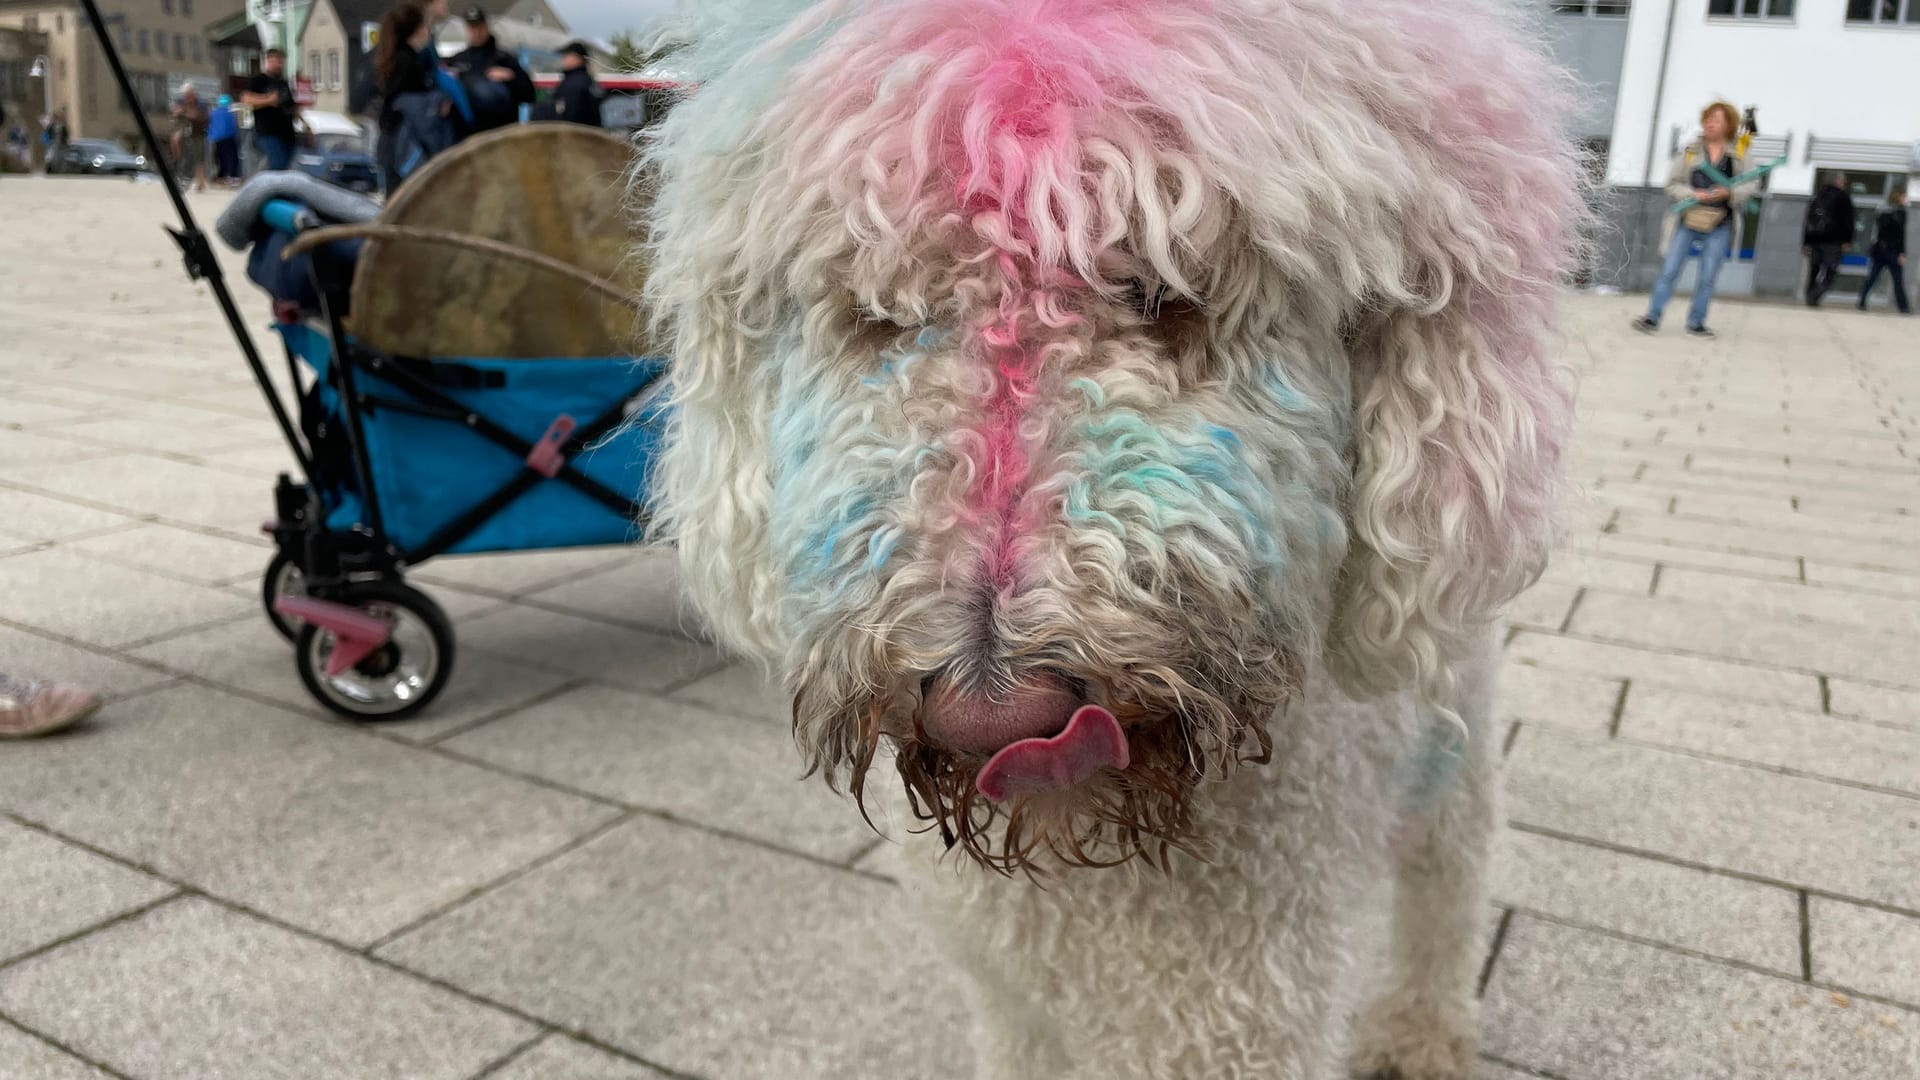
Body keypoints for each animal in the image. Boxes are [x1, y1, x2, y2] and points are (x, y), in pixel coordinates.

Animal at [637, 2, 1582, 1068]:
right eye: (885, 312)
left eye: (1162, 293)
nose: (995, 712)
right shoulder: (1006, 994)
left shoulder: (1242, 1017)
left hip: (1453, 751)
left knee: (1446, 889)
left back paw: (1419, 1036)